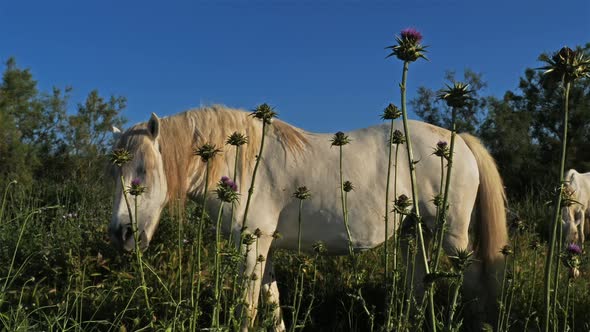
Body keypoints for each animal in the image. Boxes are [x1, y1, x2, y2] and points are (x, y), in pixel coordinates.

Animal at [107, 105, 508, 330]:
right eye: (115, 171)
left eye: (142, 169)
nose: (121, 235)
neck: (240, 162)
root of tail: (457, 140)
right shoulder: (262, 247)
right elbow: (272, 305)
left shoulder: (251, 245)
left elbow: (248, 308)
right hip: (414, 233)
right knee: (418, 285)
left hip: (452, 235)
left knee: (472, 280)